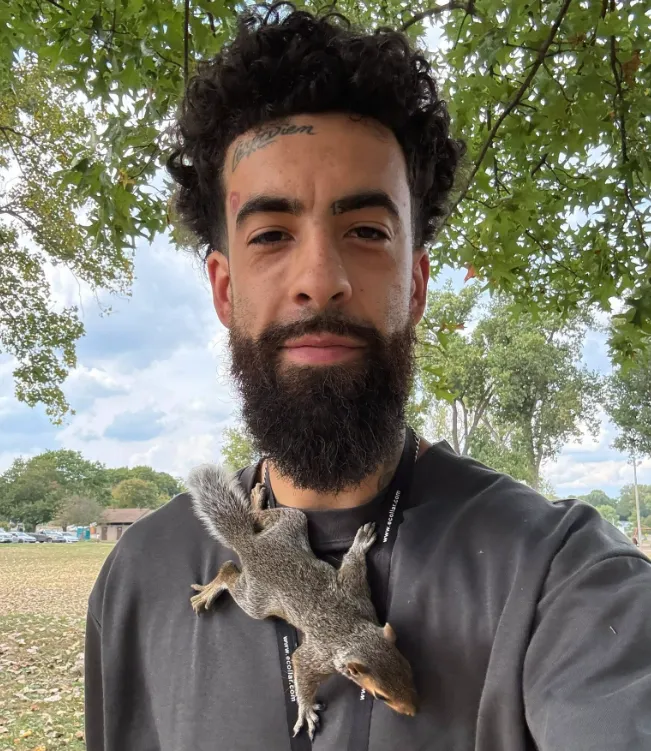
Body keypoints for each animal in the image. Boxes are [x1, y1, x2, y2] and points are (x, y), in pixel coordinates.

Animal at [187, 463, 418, 740]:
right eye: (381, 697)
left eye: (409, 669)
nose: (413, 711)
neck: (352, 631)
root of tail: (249, 545)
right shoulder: (318, 655)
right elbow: (299, 664)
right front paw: (306, 710)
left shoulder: (356, 593)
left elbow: (352, 564)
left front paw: (360, 543)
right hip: (255, 599)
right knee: (230, 572)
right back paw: (214, 585)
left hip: (290, 522)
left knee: (264, 519)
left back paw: (256, 503)